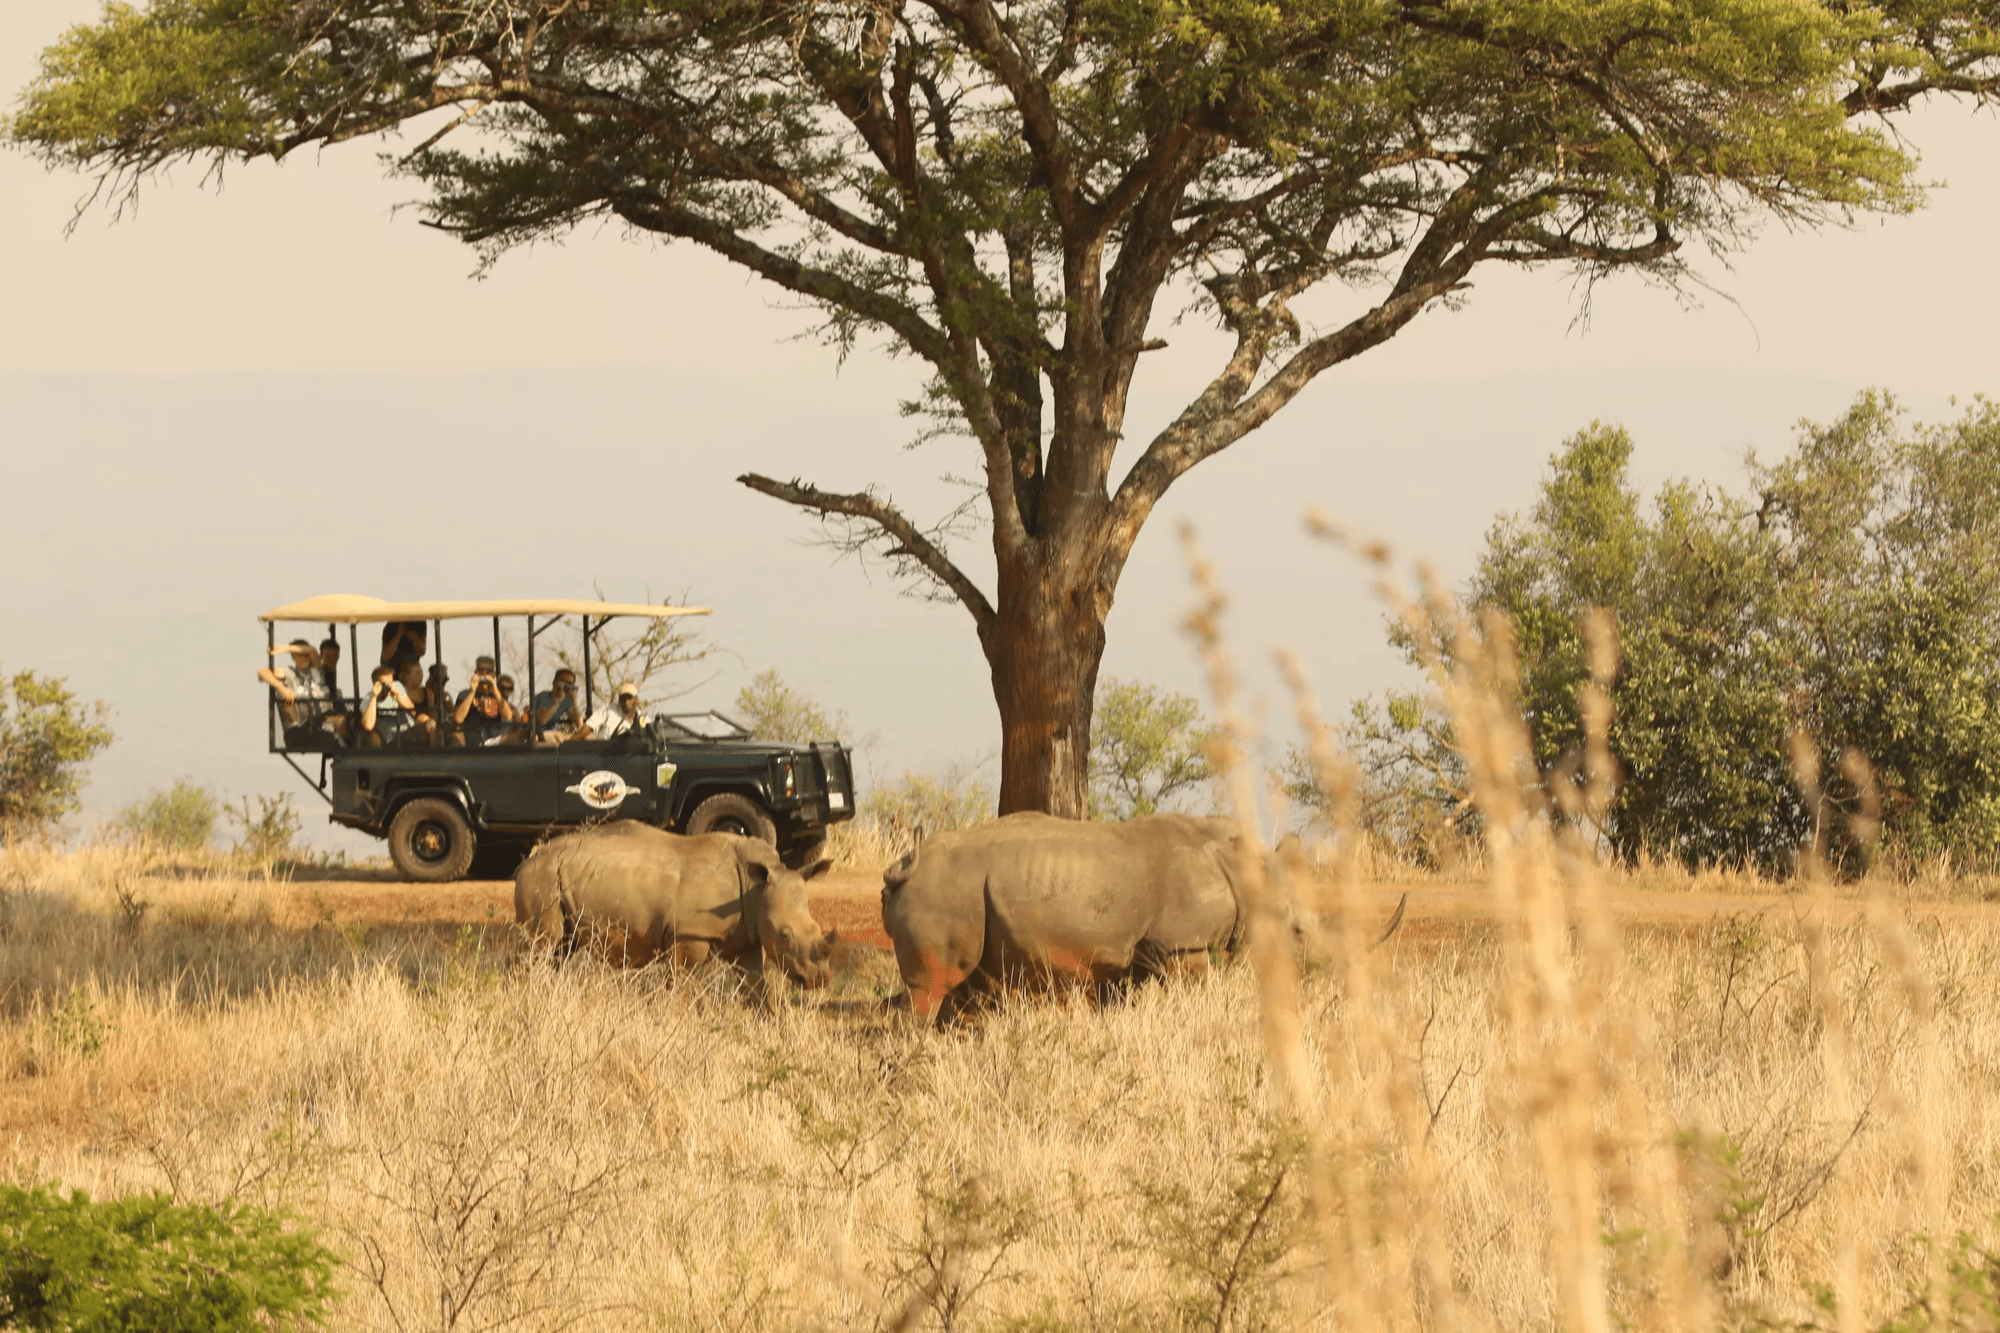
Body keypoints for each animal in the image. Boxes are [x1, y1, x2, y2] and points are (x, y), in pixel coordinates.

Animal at [516, 824, 836, 992]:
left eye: (818, 929)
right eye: (784, 935)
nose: (820, 980)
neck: (756, 887)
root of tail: (527, 861)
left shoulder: (745, 936)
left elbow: (758, 989)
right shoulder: (689, 933)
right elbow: (680, 986)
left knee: (559, 949)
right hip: (542, 877)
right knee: (543, 944)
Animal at [884, 808, 1256, 1016]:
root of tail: (903, 875)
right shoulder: (1184, 945)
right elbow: (1195, 996)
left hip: (962, 894)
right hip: (942, 892)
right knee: (929, 988)